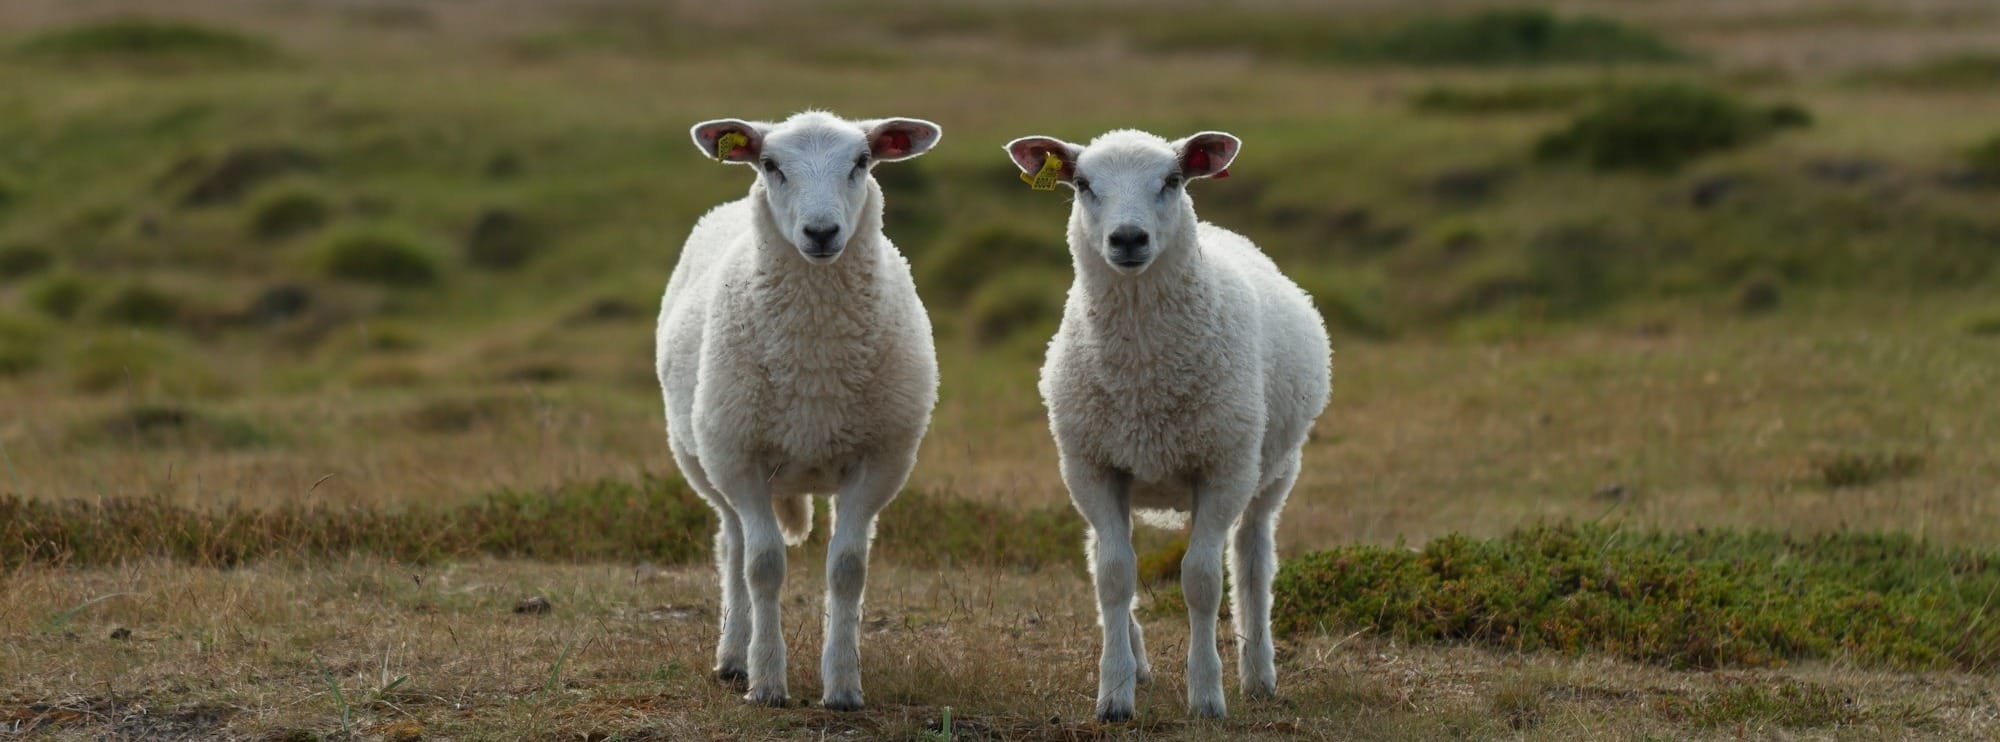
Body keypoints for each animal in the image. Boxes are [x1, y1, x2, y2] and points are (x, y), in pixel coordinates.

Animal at [656, 112, 936, 716]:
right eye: (770, 165)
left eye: (862, 162)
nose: (822, 232)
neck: (815, 361)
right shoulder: (740, 460)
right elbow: (763, 567)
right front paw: (766, 682)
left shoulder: (878, 462)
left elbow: (848, 568)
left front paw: (844, 685)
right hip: (706, 459)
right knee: (733, 547)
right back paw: (734, 655)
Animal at [1000, 128, 1328, 720]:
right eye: (1082, 184)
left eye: (1173, 180)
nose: (1128, 238)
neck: (1144, 376)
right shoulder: (1092, 469)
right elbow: (1114, 576)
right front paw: (1114, 693)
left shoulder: (1223, 470)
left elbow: (1201, 581)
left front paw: (1206, 695)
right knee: (1101, 555)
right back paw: (1138, 661)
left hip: (1273, 469)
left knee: (1251, 558)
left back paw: (1258, 673)